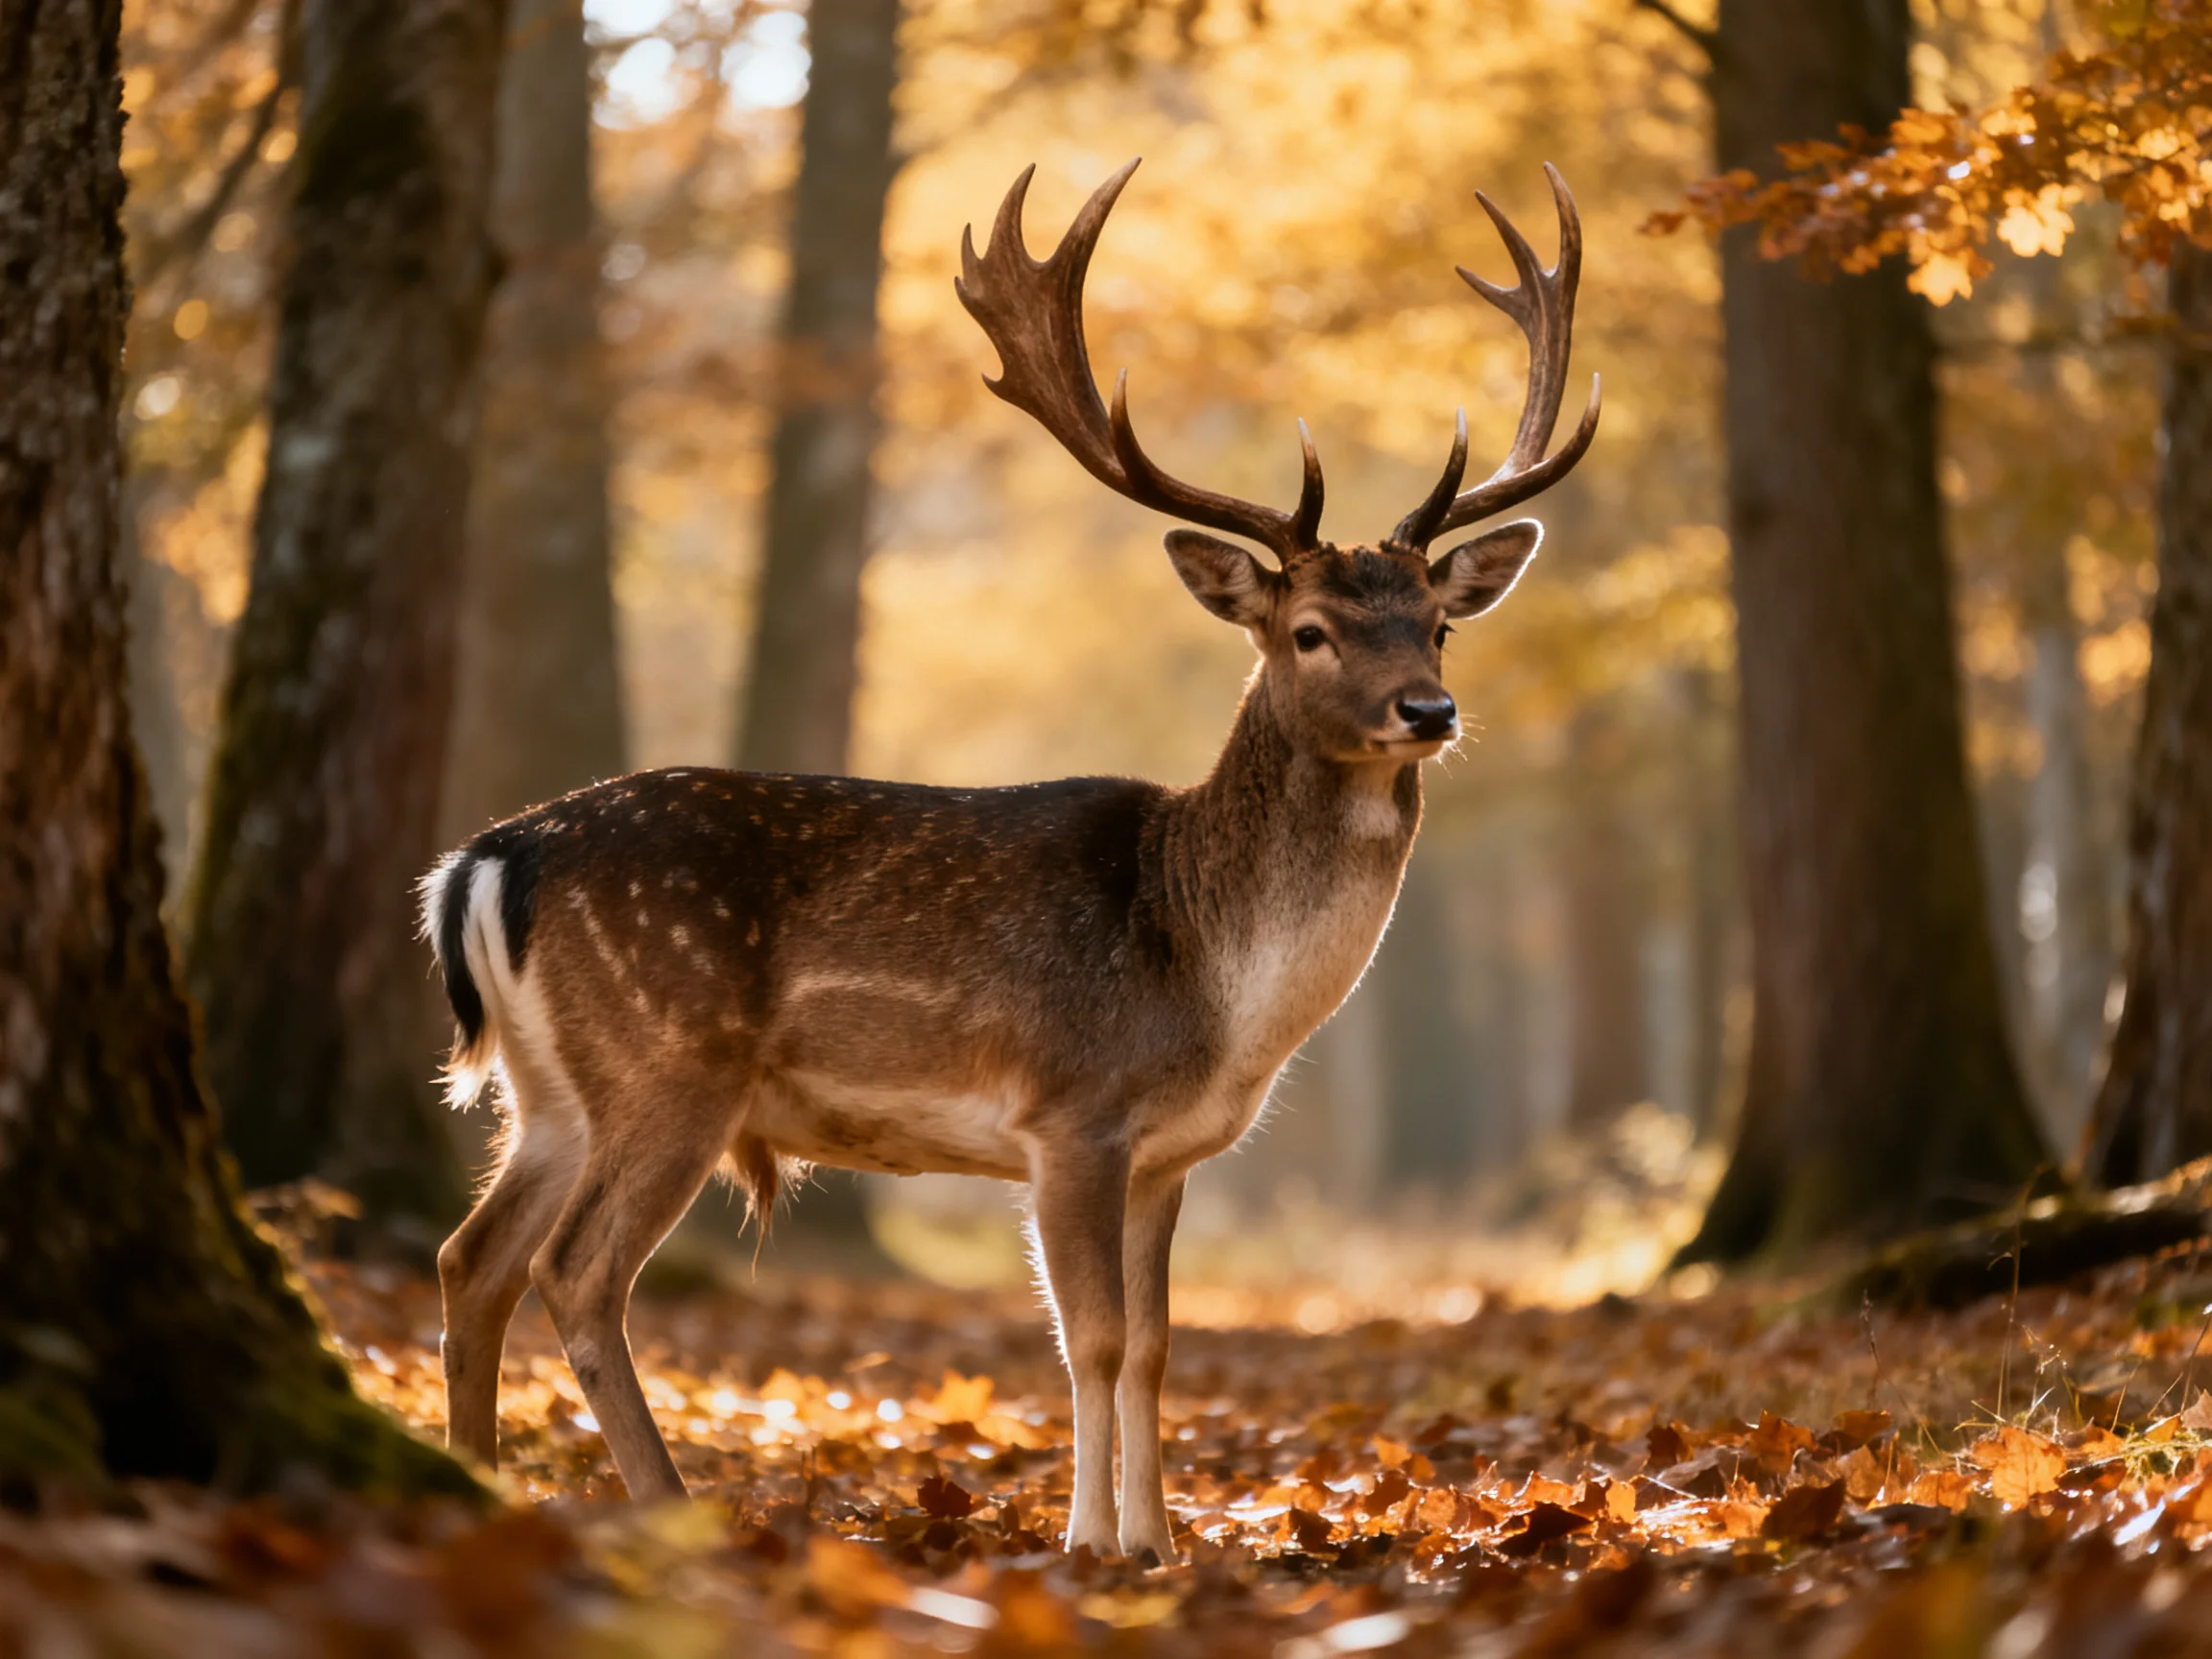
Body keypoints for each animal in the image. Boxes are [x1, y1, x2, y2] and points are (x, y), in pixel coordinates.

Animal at [421, 157, 1597, 1560]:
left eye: (1435, 625)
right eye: (1309, 630)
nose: (1429, 711)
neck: (1215, 981)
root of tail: (483, 859)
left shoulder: (1167, 1155)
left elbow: (1155, 1346)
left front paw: (1159, 1541)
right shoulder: (1072, 1112)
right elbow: (1089, 1339)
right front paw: (1092, 1545)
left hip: (551, 1088)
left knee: (473, 1258)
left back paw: (477, 1482)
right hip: (669, 1059)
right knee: (577, 1271)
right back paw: (669, 1508)